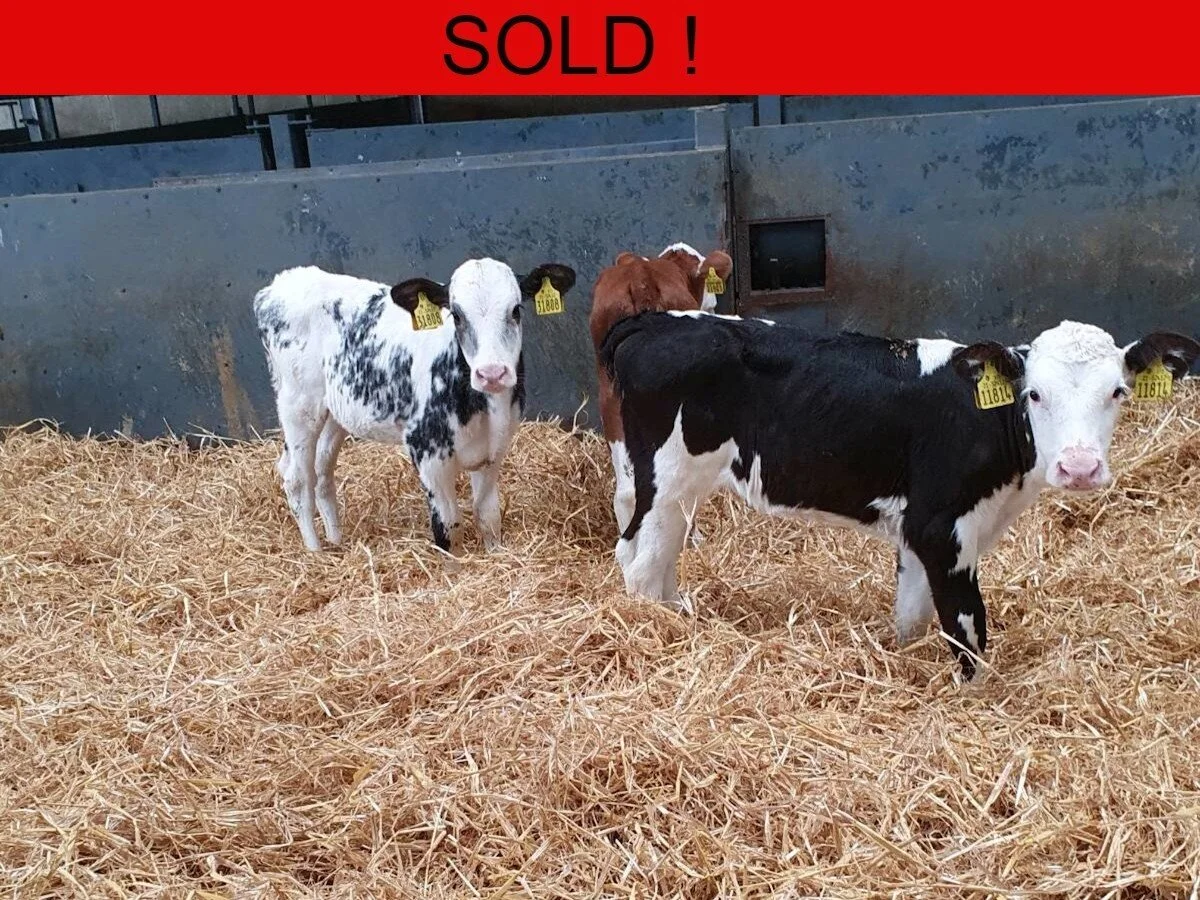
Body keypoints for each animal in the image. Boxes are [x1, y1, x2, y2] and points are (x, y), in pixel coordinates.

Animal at [254, 258, 577, 553]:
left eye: (516, 309)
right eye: (456, 315)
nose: (492, 373)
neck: (483, 408)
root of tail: (276, 286)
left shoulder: (494, 449)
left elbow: (488, 517)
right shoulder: (426, 452)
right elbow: (448, 528)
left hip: (335, 411)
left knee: (321, 471)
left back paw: (336, 541)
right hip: (298, 405)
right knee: (296, 478)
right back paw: (316, 553)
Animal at [598, 310, 1200, 679]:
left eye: (1118, 392)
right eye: (1034, 394)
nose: (1079, 468)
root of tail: (655, 322)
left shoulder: (918, 530)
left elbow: (911, 615)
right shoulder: (941, 528)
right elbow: (968, 625)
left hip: (676, 487)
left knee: (650, 552)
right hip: (668, 474)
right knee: (639, 565)